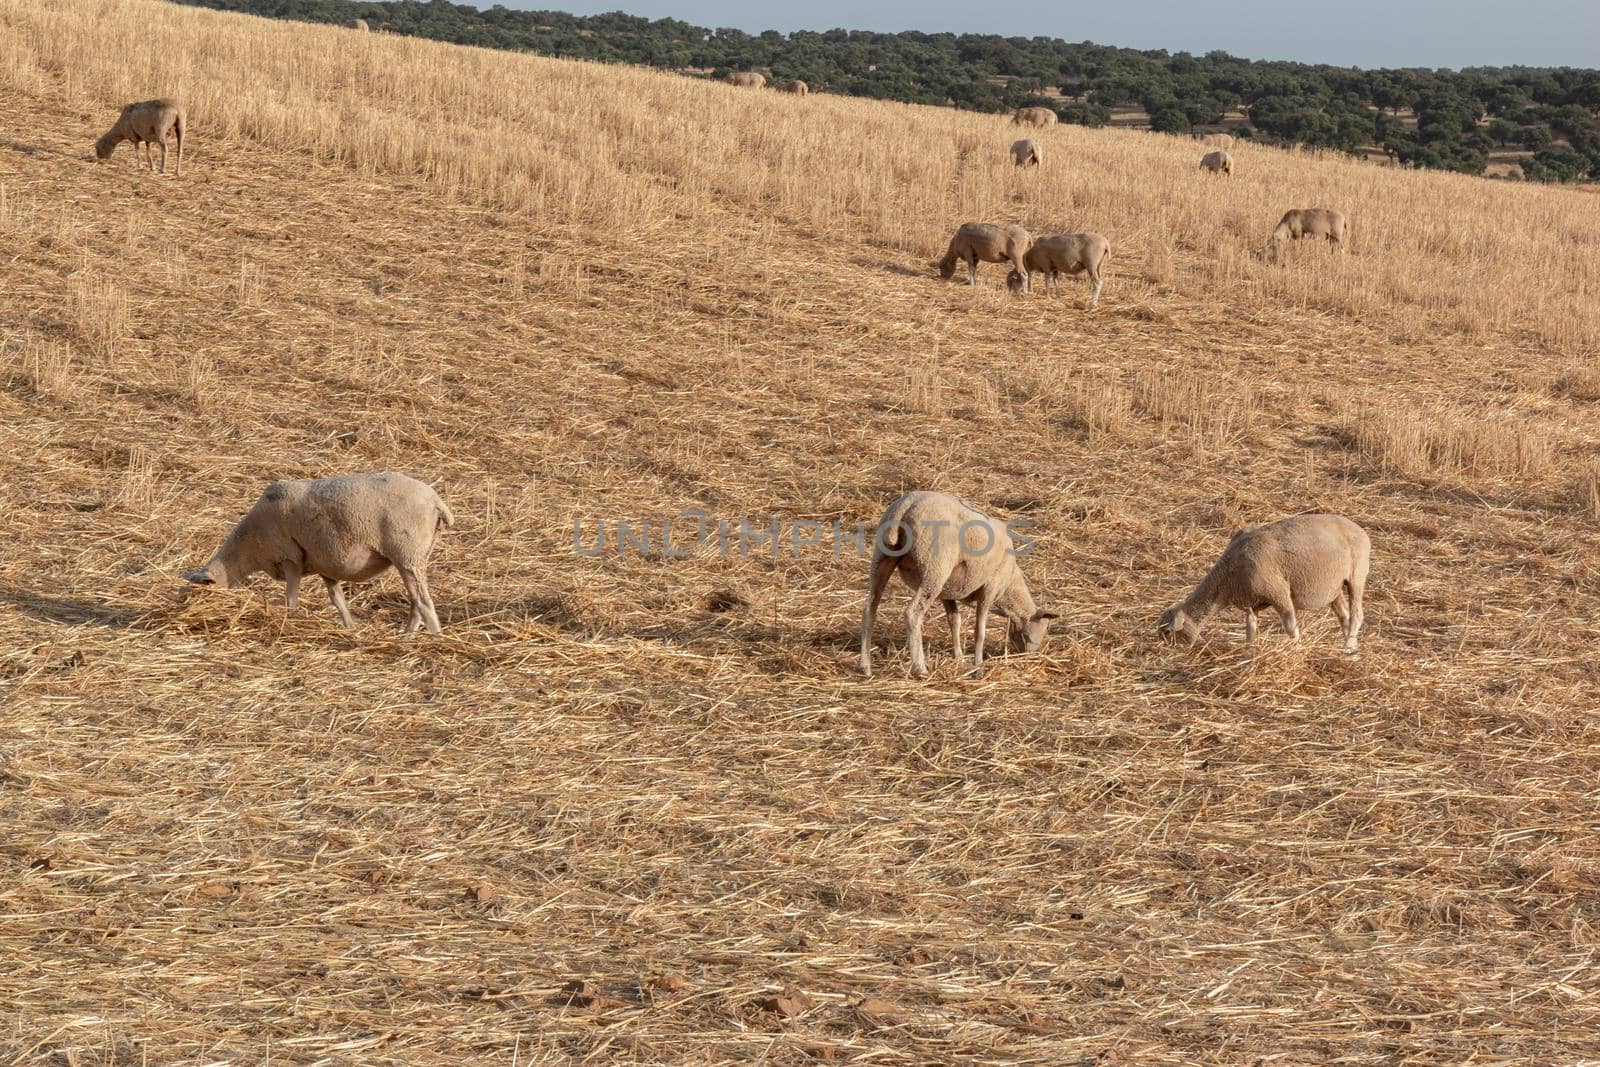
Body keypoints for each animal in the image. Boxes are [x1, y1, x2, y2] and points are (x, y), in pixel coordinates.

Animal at [183, 470, 454, 633]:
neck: (248, 548)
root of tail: (436, 502)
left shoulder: (290, 557)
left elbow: (291, 596)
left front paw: (290, 619)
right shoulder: (327, 564)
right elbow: (338, 600)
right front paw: (349, 627)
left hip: (407, 551)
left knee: (423, 601)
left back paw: (432, 636)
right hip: (415, 555)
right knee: (416, 599)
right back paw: (407, 634)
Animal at [864, 489, 1062, 681]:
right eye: (1044, 629)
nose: (1031, 655)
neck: (1010, 585)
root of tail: (905, 505)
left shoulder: (947, 592)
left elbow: (955, 622)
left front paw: (959, 657)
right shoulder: (990, 587)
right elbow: (980, 630)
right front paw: (978, 664)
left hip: (882, 558)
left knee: (870, 607)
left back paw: (865, 666)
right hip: (935, 568)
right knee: (912, 613)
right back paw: (919, 668)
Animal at [1158, 511, 1369, 652]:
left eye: (1168, 633)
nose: (1168, 654)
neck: (1226, 578)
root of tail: (1360, 530)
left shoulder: (1278, 593)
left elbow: (1291, 626)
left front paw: (1297, 649)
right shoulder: (1249, 602)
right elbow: (1250, 628)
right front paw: (1248, 655)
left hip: (1357, 575)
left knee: (1357, 615)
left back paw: (1349, 648)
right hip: (1334, 587)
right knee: (1344, 616)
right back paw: (1352, 649)